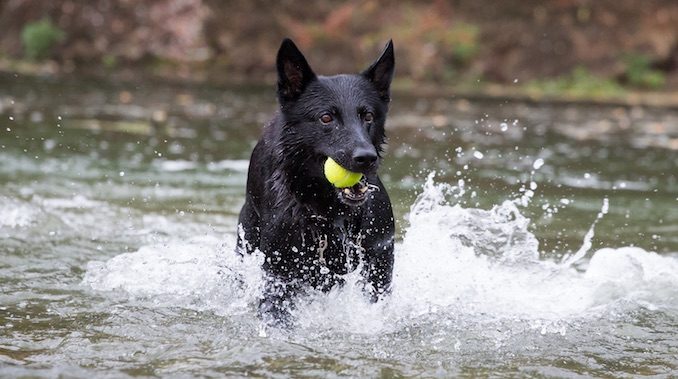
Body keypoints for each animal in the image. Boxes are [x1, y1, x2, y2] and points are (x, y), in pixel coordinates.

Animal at [239, 38, 398, 326]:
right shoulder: (279, 273)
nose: (366, 158)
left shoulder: (378, 260)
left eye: (368, 116)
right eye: (326, 118)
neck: (328, 214)